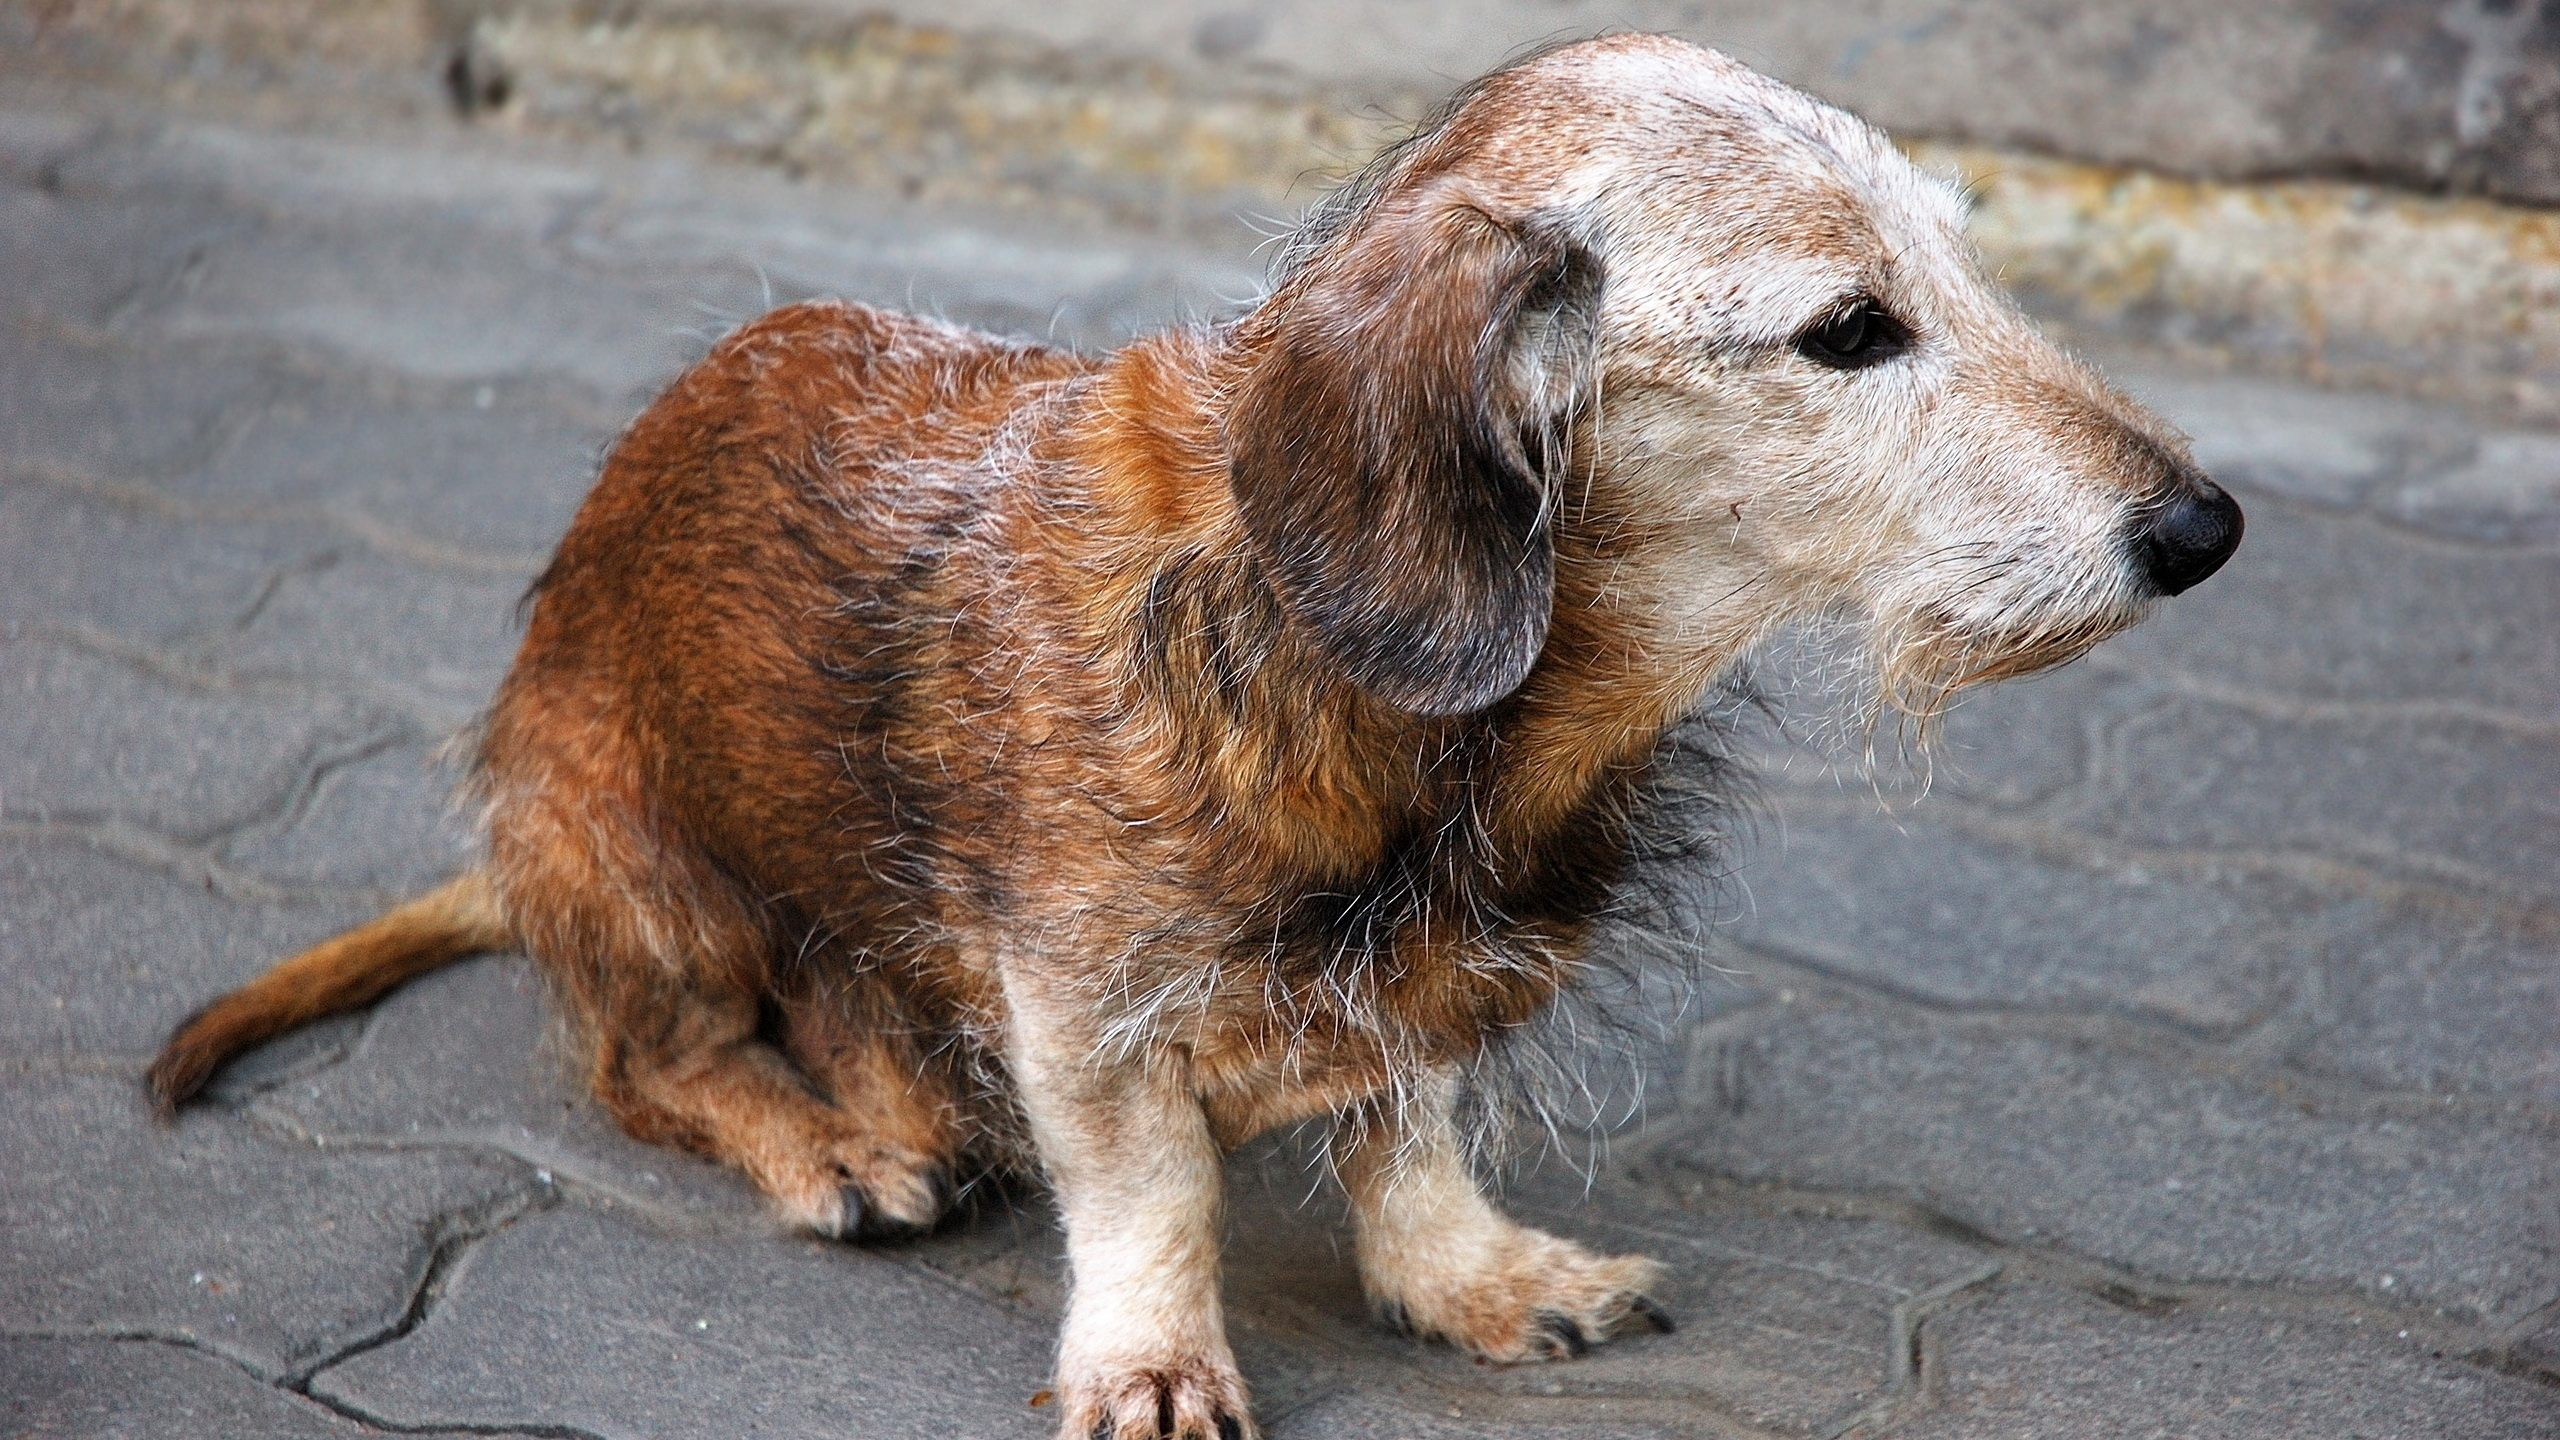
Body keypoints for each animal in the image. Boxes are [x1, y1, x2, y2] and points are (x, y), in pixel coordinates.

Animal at [154, 36, 2242, 1434]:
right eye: (1848, 330)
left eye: (1966, 266)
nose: (2205, 529)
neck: (1381, 698)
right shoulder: (1084, 997)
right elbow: (1149, 1188)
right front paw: (1154, 1360)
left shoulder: (1411, 990)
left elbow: (1409, 1129)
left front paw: (1480, 1277)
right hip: (642, 861)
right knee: (650, 1061)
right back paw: (825, 1140)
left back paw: (896, 1099)